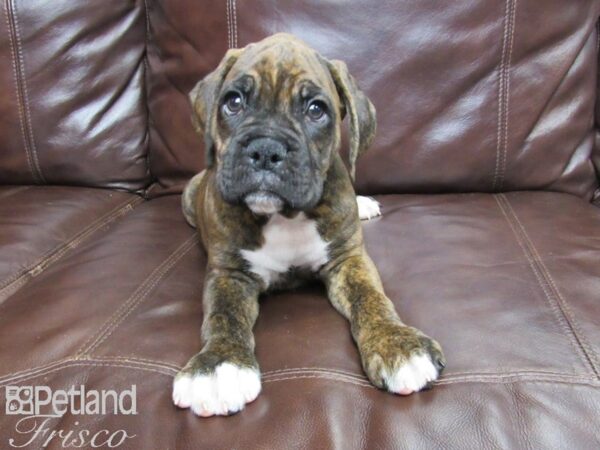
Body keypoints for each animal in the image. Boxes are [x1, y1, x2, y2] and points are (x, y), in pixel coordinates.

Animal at [171, 33, 442, 416]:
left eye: (316, 110)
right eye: (233, 102)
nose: (266, 149)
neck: (284, 217)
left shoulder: (348, 261)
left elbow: (372, 299)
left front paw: (397, 344)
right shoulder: (229, 275)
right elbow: (224, 316)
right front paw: (219, 366)